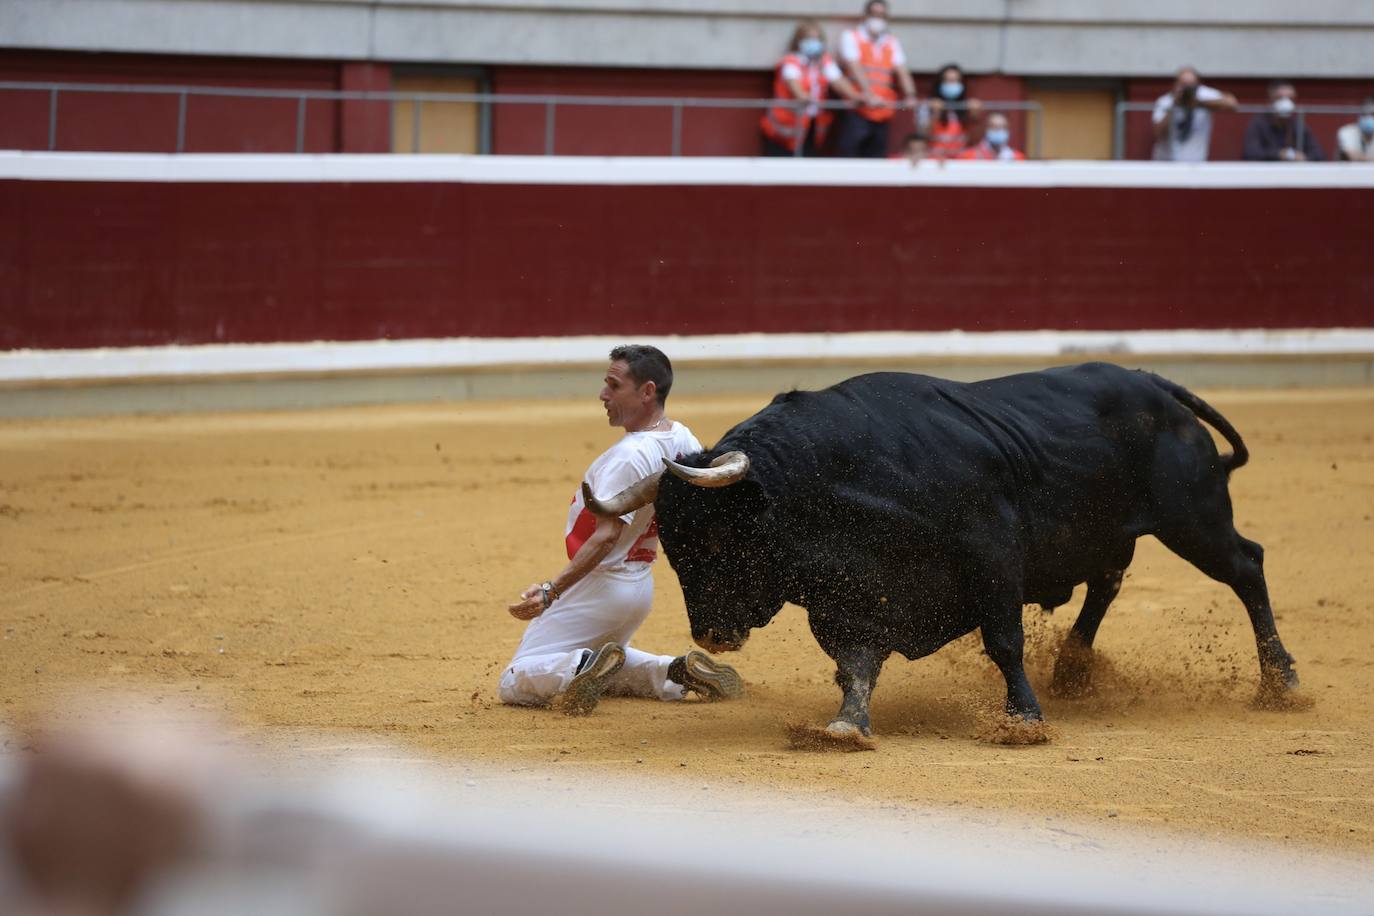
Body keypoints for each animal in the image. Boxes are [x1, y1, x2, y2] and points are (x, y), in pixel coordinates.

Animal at [585, 362, 1291, 741]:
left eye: (718, 536)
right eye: (672, 546)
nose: (712, 634)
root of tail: (1152, 383)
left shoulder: (993, 552)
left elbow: (1003, 641)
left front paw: (1023, 718)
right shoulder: (852, 595)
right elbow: (856, 664)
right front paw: (846, 727)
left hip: (1192, 517)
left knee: (1247, 566)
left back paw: (1280, 682)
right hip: (1117, 531)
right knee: (1108, 582)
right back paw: (1072, 669)